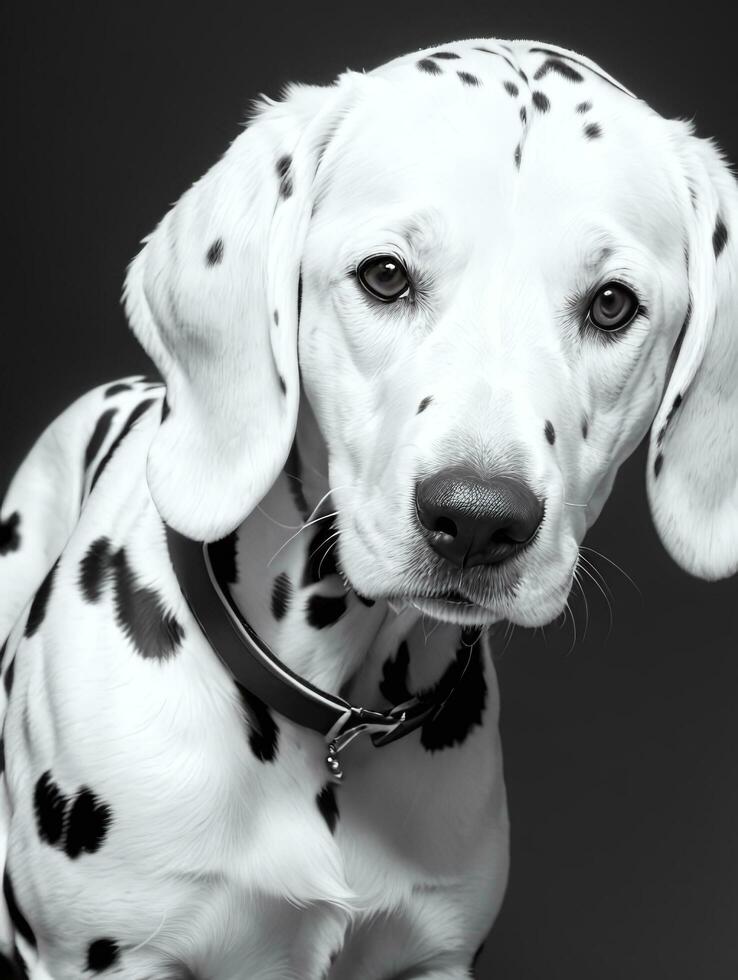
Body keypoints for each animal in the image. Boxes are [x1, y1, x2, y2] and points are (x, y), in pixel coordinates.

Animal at [1, 34, 736, 980]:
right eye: (385, 275)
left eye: (613, 303)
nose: (476, 520)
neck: (325, 705)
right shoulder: (103, 956)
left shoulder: (432, 956)